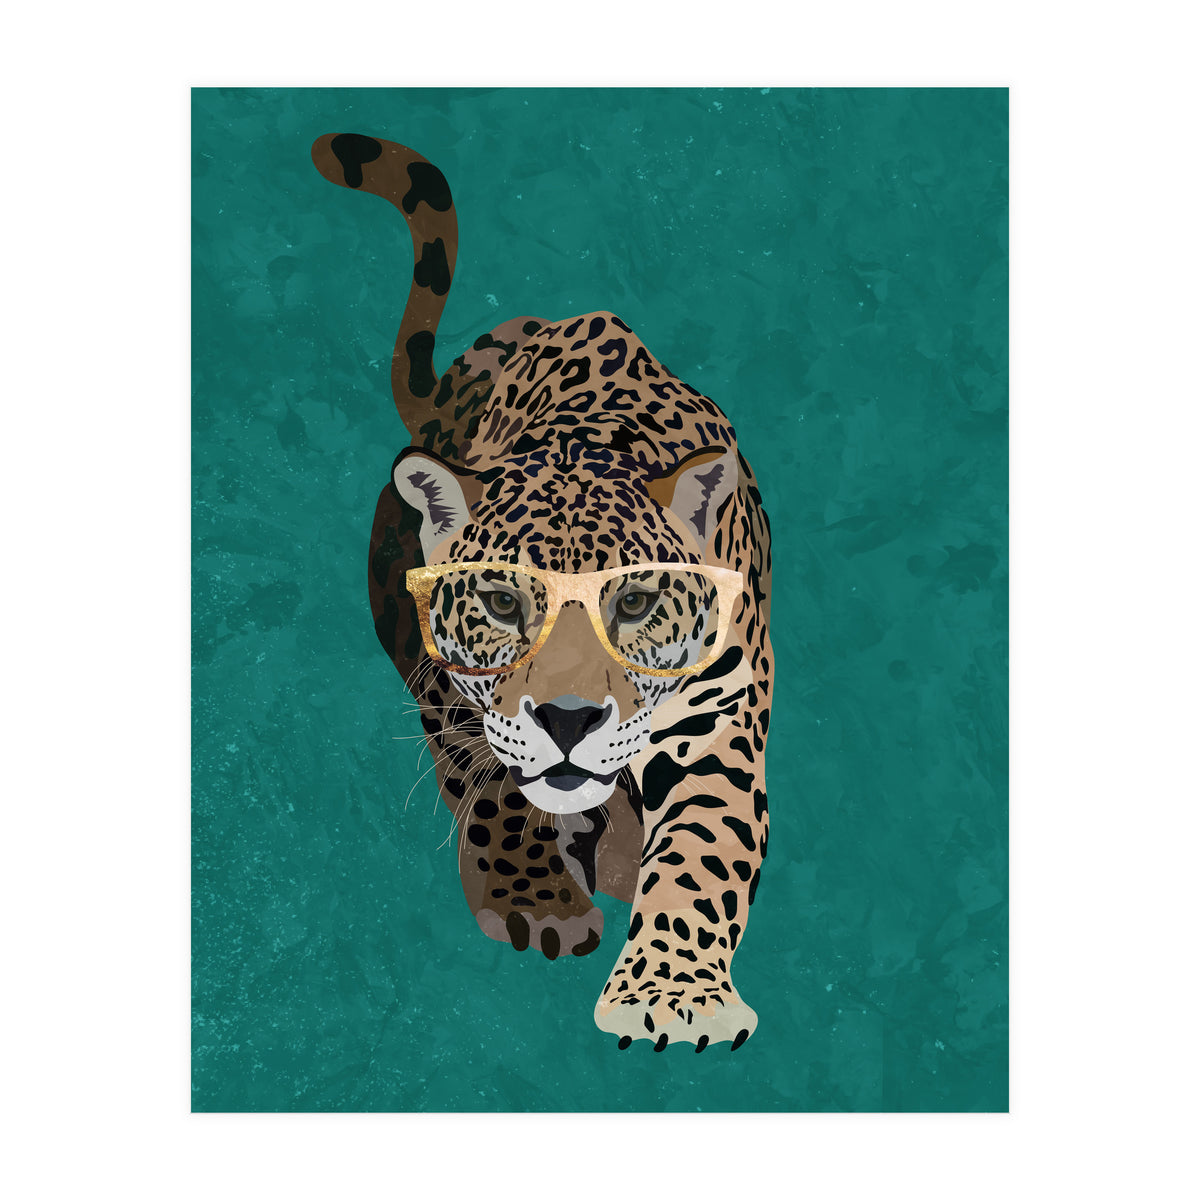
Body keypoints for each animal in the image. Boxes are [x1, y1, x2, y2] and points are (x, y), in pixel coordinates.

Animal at [312, 132, 773, 1051]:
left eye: (632, 603)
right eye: (500, 603)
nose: (567, 720)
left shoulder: (718, 716)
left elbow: (703, 850)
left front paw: (672, 995)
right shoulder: (454, 690)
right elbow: (494, 786)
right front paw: (536, 901)